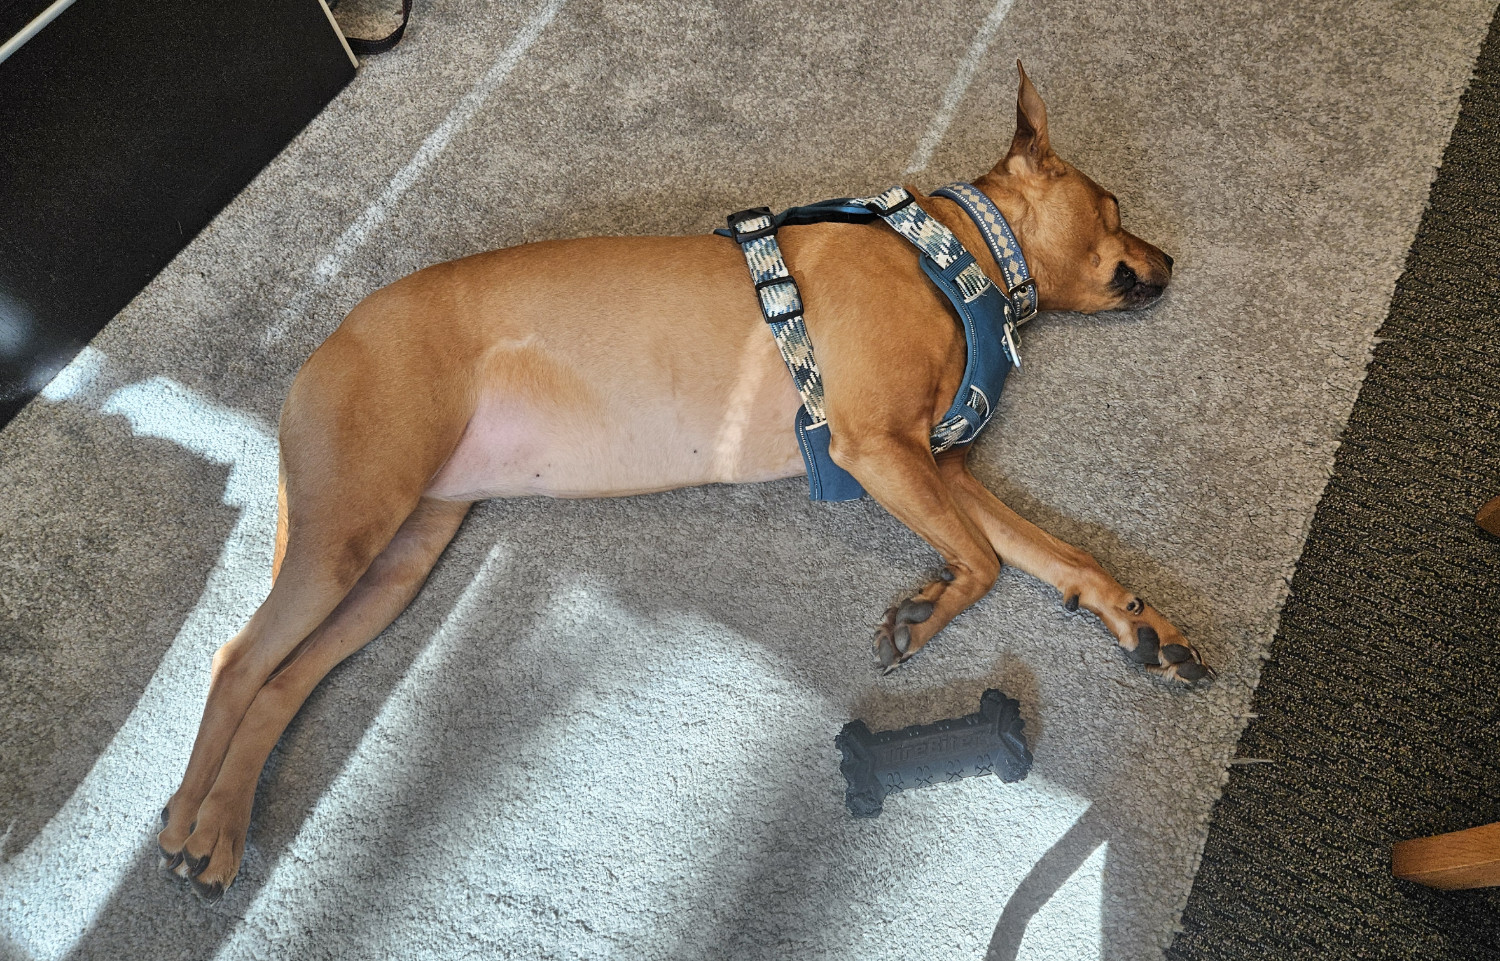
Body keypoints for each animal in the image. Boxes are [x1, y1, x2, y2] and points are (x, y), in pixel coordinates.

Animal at [155, 65, 1206, 899]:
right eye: (1115, 207)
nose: (1170, 261)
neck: (951, 254)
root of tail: (328, 339)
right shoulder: (878, 450)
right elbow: (983, 562)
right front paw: (924, 611)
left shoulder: (940, 462)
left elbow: (1055, 553)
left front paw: (1141, 622)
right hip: (351, 528)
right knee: (236, 659)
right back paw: (185, 822)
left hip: (398, 558)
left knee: (286, 680)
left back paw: (220, 827)